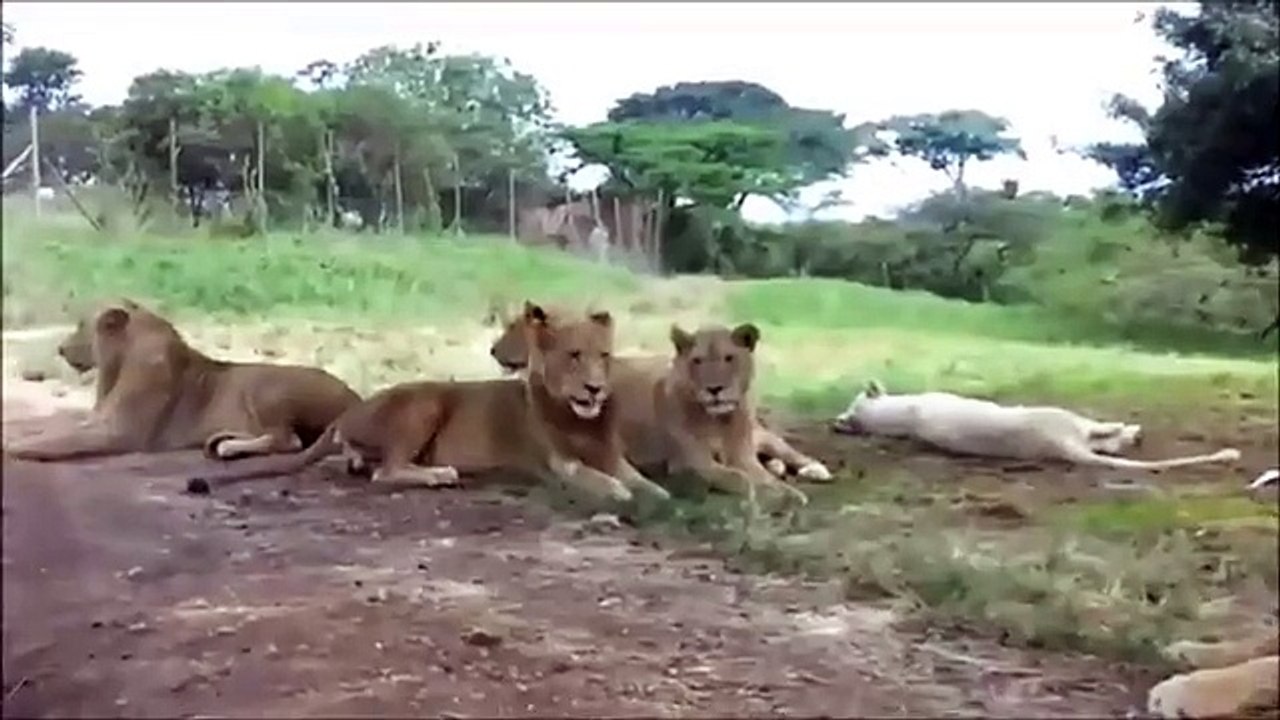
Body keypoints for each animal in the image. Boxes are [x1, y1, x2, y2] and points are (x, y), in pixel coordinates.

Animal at [4, 299, 360, 462]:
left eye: (81, 325)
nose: (60, 348)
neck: (118, 364)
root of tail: (355, 398)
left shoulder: (120, 433)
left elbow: (56, 442)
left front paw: (11, 446)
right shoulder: (99, 421)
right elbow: (52, 431)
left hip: (266, 387)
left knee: (288, 440)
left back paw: (228, 448)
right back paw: (223, 440)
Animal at [188, 303, 672, 507]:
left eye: (603, 356)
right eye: (573, 356)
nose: (595, 389)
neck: (579, 418)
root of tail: (348, 413)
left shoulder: (614, 456)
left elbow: (648, 485)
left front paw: (658, 494)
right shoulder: (557, 467)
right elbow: (604, 483)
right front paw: (620, 493)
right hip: (425, 405)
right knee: (387, 471)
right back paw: (440, 474)